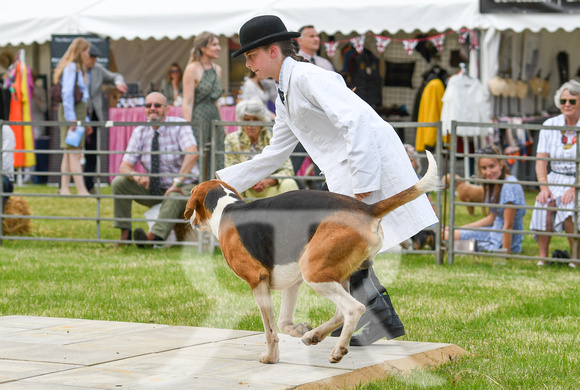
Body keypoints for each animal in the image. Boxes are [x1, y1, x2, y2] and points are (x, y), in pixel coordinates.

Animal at [186, 152, 440, 362]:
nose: (190, 221)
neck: (225, 208)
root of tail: (366, 209)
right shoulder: (292, 282)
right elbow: (283, 323)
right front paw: (298, 330)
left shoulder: (258, 281)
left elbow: (270, 330)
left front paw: (270, 357)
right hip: (333, 274)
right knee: (340, 312)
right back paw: (314, 335)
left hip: (314, 272)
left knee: (353, 309)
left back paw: (338, 350)